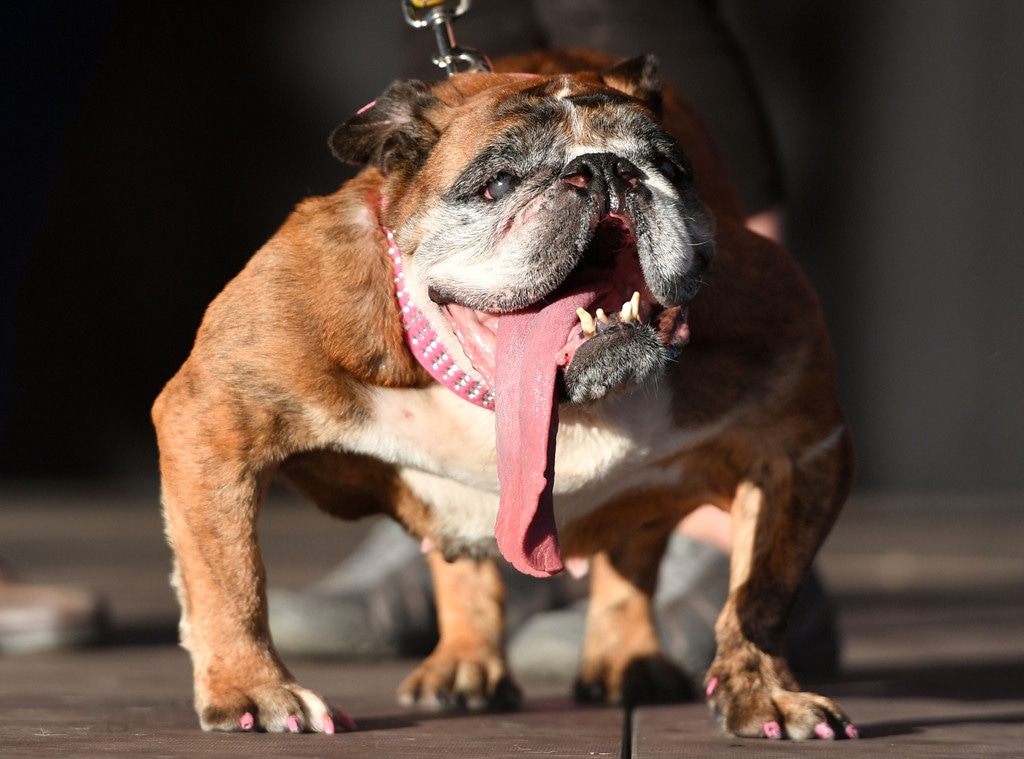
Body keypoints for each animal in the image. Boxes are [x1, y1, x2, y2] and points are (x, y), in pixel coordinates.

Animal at [151, 50, 856, 737]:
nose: (606, 168)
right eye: (496, 185)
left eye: (668, 168)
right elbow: (230, 577)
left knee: (633, 560)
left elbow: (761, 593)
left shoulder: (795, 447)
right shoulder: (216, 420)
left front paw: (764, 693)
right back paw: (465, 665)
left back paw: (624, 660)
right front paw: (252, 689)